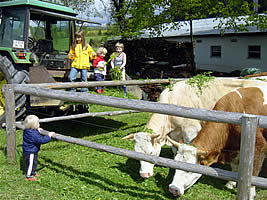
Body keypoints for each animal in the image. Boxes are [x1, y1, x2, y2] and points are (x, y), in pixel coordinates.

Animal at [123, 77, 267, 178]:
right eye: (136, 153)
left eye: (151, 153)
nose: (144, 175)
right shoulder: (175, 134)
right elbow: (175, 149)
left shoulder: (191, 131)